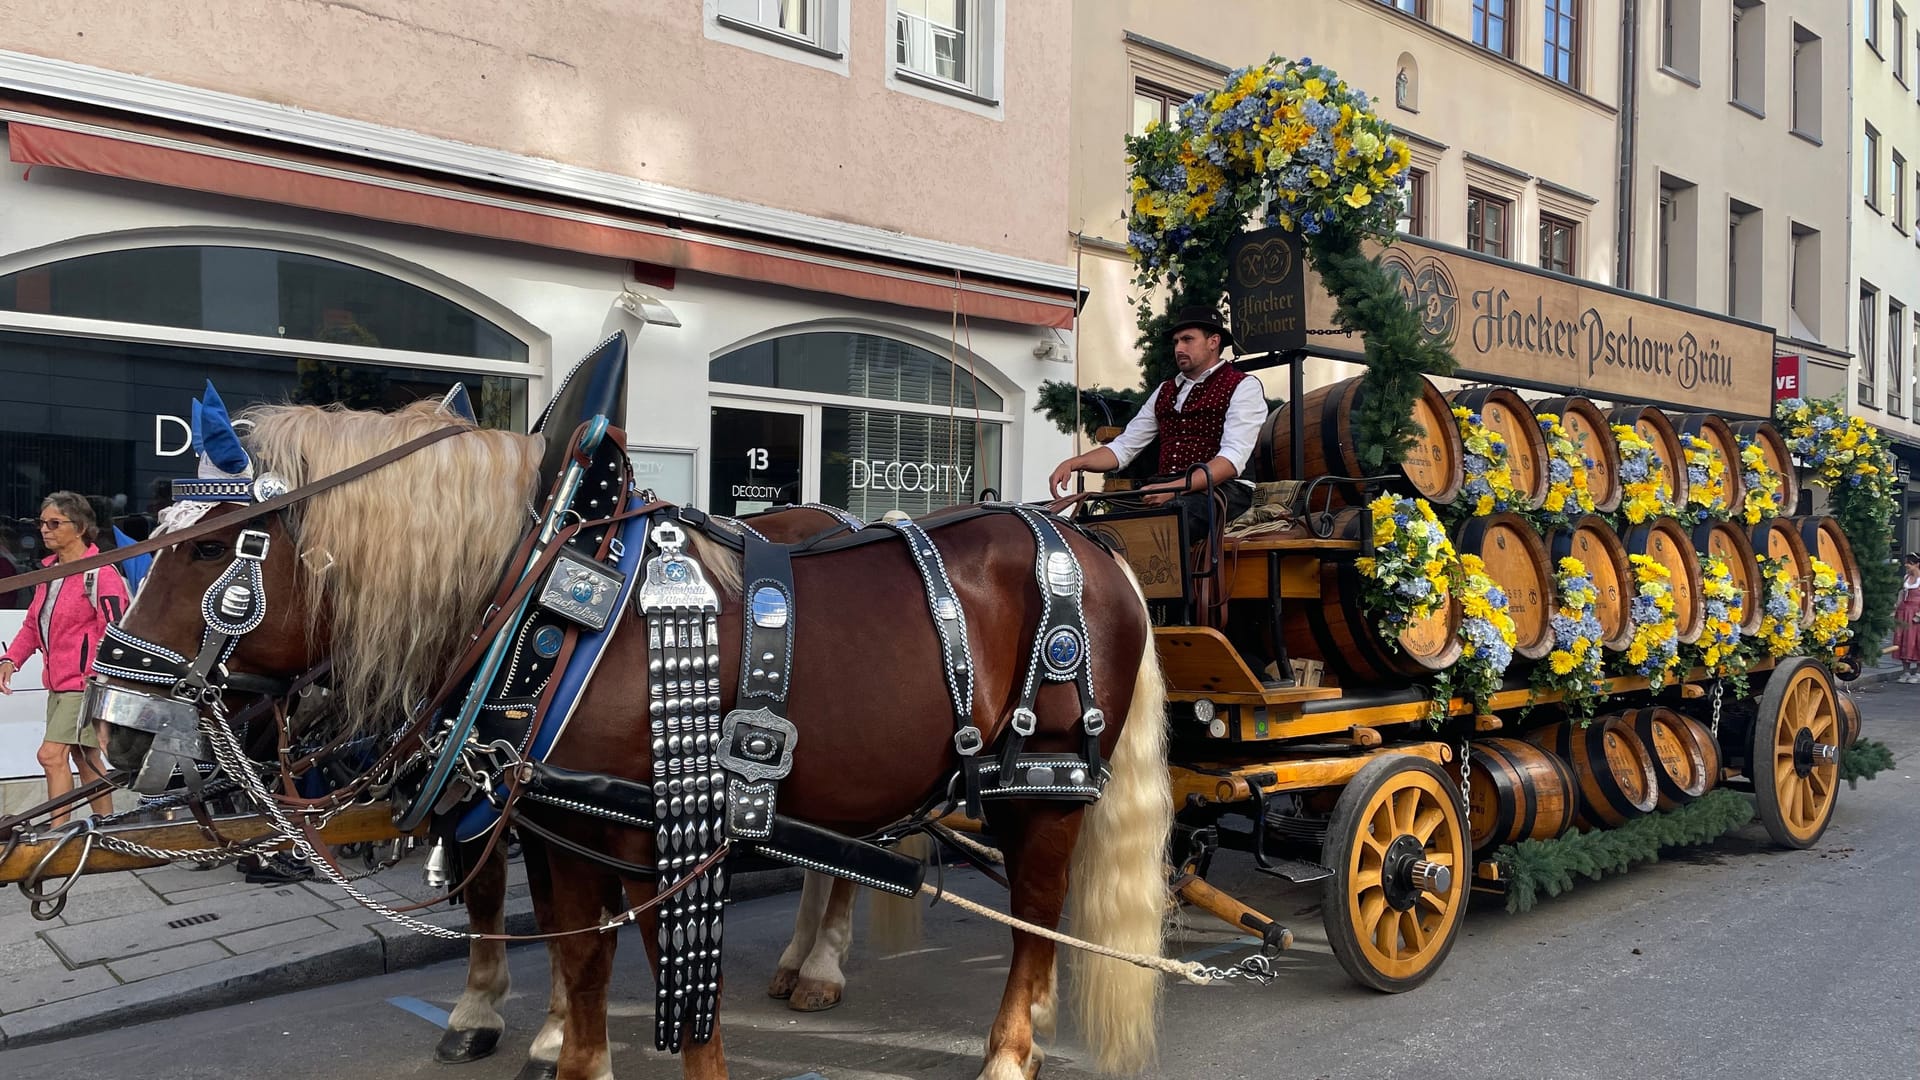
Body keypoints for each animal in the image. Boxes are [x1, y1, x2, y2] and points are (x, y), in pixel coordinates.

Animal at [112, 399, 1175, 1068]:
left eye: (210, 548)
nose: (118, 725)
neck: (543, 608)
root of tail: (1090, 540)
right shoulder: (553, 824)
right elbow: (576, 961)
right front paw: (537, 1034)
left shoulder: (645, 840)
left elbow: (658, 991)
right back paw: (822, 970)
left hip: (1042, 784)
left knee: (1035, 909)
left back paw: (1009, 1047)